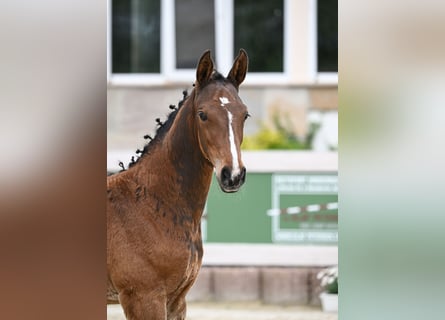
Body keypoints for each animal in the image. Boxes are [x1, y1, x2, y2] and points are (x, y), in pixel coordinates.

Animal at [106, 48, 248, 318]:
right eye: (203, 115)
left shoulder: (176, 301)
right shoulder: (143, 298)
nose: (233, 174)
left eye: (245, 114)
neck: (152, 203)